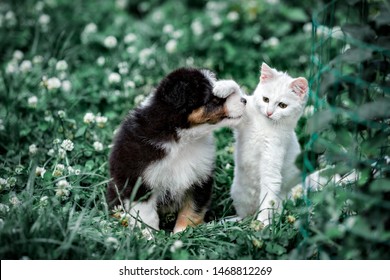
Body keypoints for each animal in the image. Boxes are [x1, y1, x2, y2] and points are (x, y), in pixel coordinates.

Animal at [108, 67, 245, 232]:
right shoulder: (138, 179)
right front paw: (149, 234)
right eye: (214, 100)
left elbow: (192, 208)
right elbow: (145, 212)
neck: (181, 139)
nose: (245, 100)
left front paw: (182, 232)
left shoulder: (199, 177)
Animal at [230, 62, 310, 224]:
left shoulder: (271, 164)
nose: (269, 113)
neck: (265, 125)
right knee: (243, 215)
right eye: (265, 99)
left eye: (283, 105)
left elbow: (267, 200)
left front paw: (262, 224)